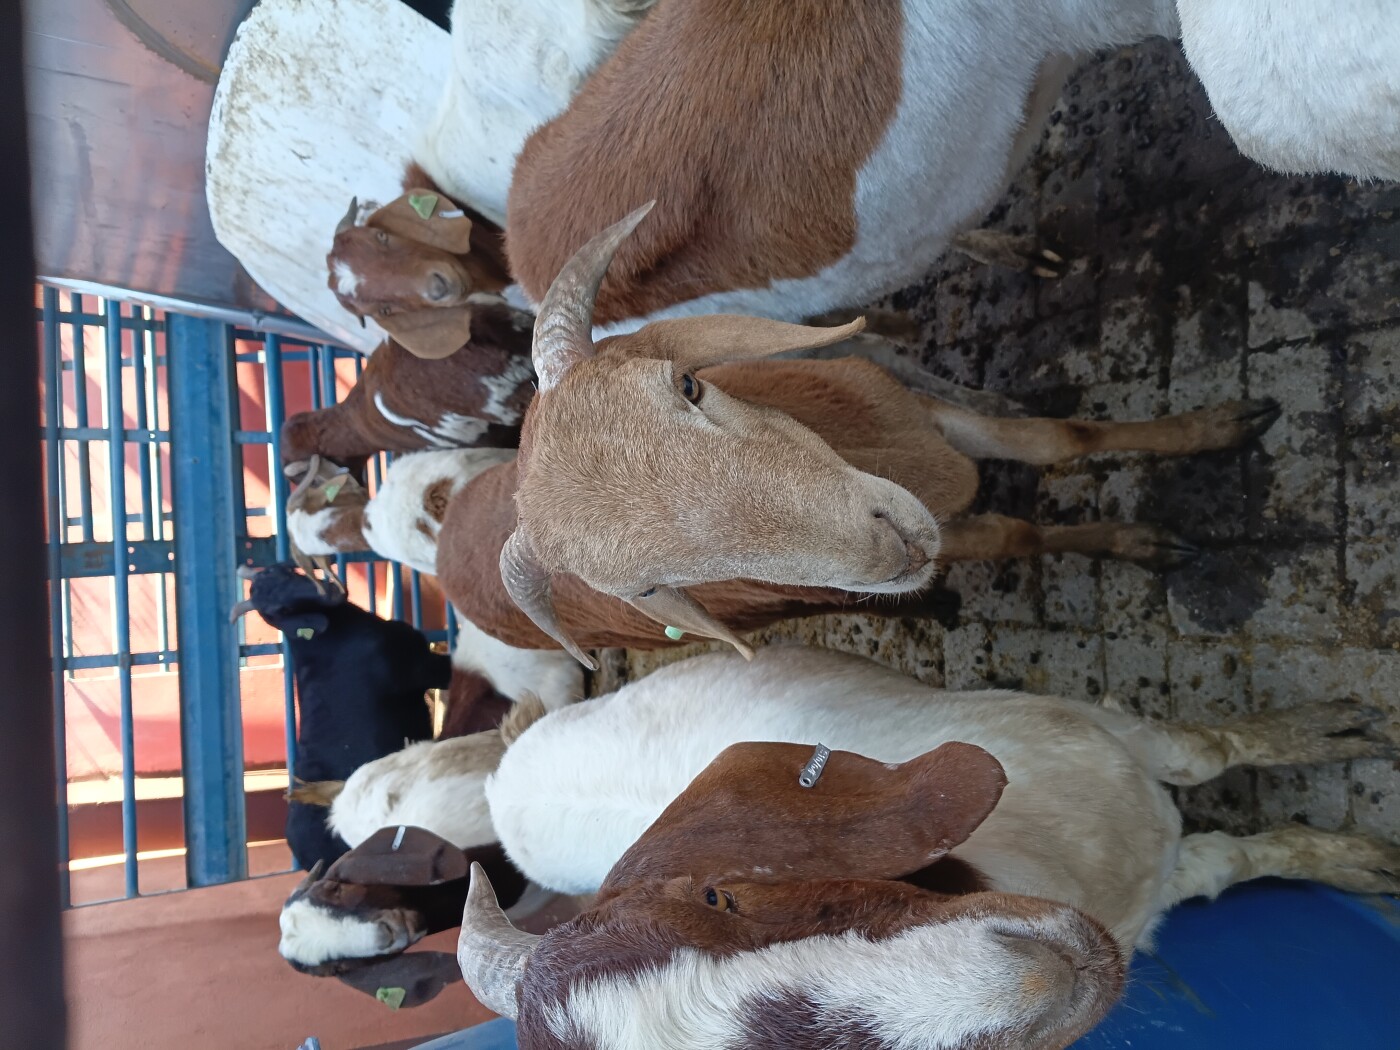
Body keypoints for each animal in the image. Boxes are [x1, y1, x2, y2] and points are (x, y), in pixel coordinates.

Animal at [463, 645, 1400, 1048]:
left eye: (718, 895)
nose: (1041, 974)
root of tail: (501, 787)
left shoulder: (1099, 728)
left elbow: (1209, 753)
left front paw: (1330, 746)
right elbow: (1231, 858)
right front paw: (1353, 857)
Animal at [496, 210, 1280, 667]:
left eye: (689, 384)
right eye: (652, 587)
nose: (891, 551)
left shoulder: (927, 416)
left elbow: (1058, 440)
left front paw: (1216, 427)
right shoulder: (953, 533)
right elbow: (1020, 535)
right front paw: (1141, 543)